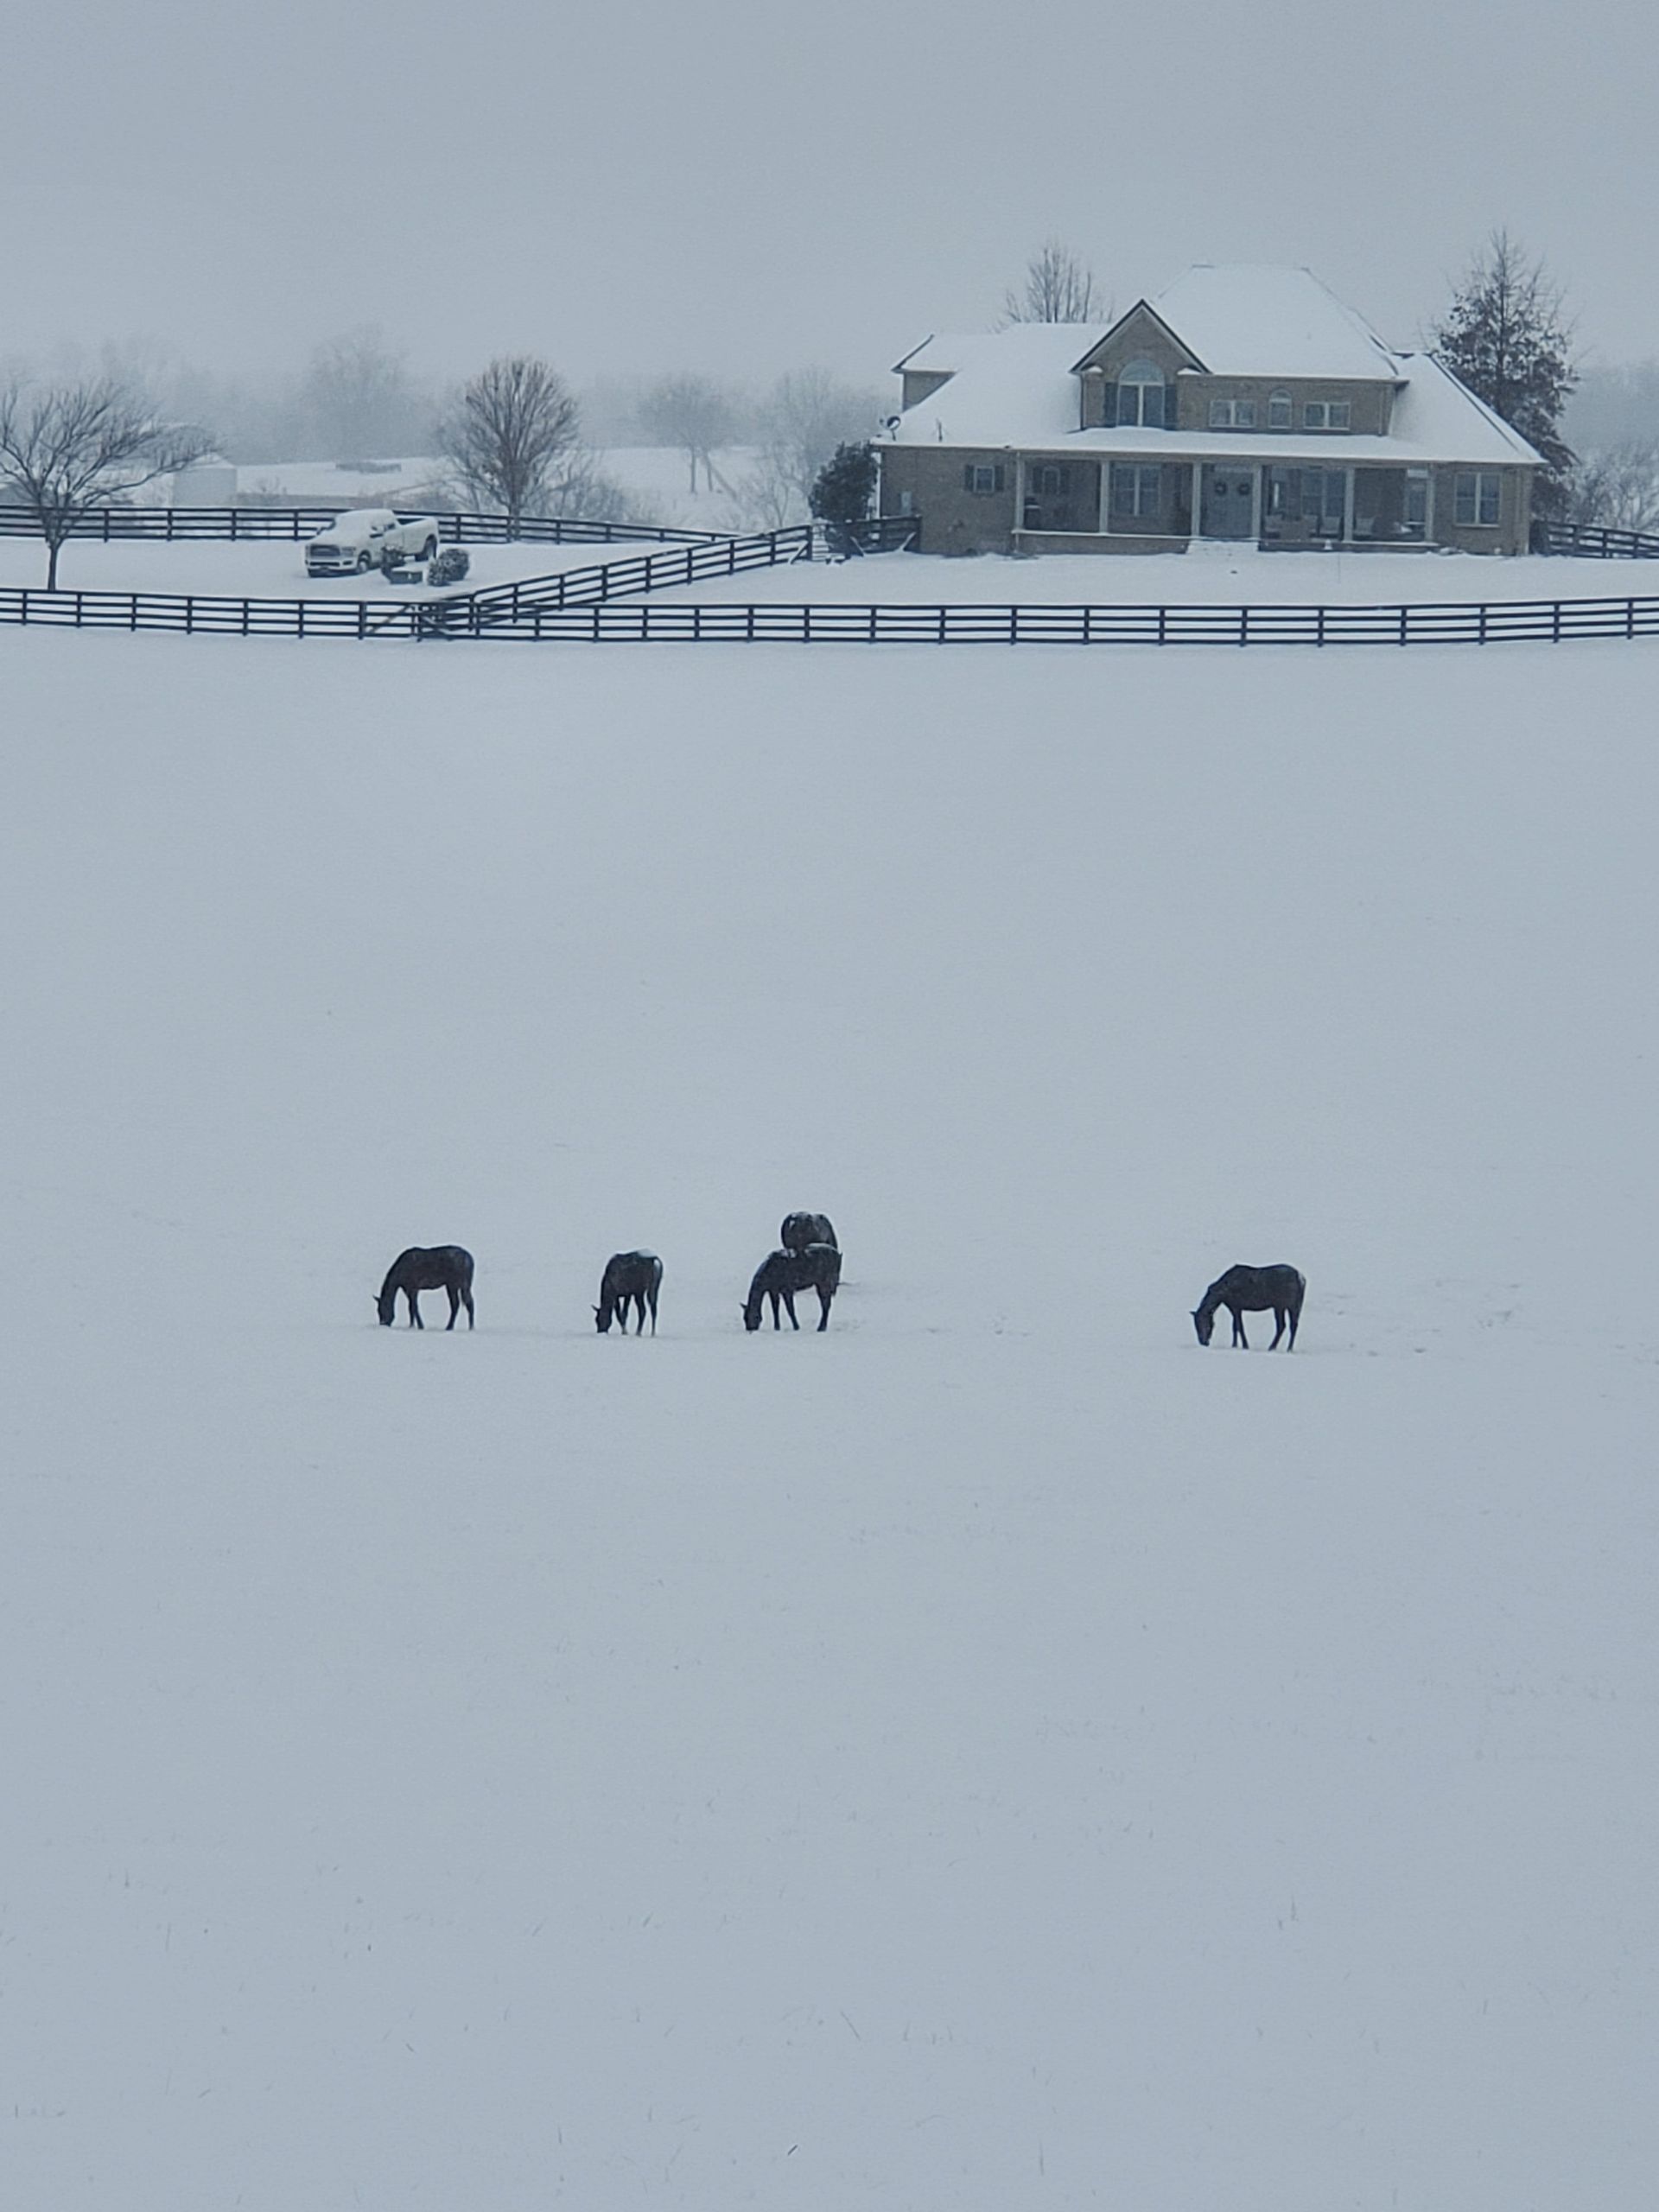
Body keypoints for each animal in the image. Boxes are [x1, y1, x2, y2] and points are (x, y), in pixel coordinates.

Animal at [1192, 1263, 1305, 1350]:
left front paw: (1245, 1345)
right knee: (1289, 1326)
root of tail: (1301, 1280)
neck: (1222, 1295)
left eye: (1206, 1323)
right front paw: (1234, 1345)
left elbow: (1239, 1327)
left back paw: (1279, 1348)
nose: (1203, 1342)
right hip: (1291, 1306)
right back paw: (1282, 1348)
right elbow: (1234, 1327)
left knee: (1285, 1326)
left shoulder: (1236, 1306)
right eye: (1195, 1325)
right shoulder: (1233, 1308)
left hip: (1284, 1306)